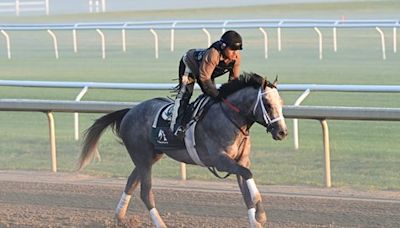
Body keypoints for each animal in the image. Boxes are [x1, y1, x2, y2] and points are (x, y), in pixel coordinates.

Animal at [78, 72, 288, 227]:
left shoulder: (240, 160)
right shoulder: (220, 160)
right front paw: (260, 212)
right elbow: (247, 175)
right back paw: (160, 224)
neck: (229, 118)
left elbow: (247, 190)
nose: (282, 132)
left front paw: (257, 218)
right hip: (142, 157)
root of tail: (130, 111)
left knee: (131, 182)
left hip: (149, 157)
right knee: (145, 192)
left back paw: (120, 217)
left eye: (281, 103)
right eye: (267, 104)